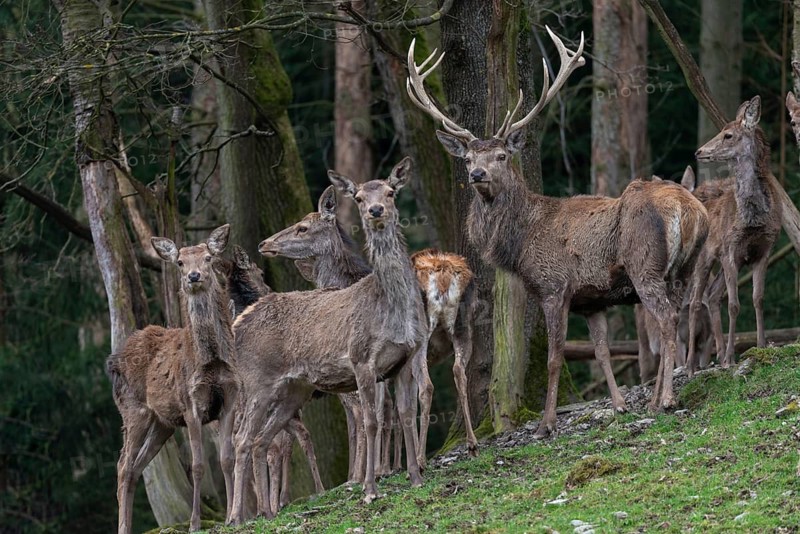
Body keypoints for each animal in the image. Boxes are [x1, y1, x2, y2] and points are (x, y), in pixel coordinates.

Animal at [106, 225, 240, 534]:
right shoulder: (191, 405)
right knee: (123, 465)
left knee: (136, 467)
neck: (211, 362)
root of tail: (113, 362)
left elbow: (227, 459)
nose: (194, 276)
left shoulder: (229, 398)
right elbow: (198, 465)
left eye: (207, 258)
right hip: (134, 410)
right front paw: (194, 524)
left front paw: (234, 516)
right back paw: (123, 527)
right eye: (180, 262)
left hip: (162, 423)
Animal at [228, 158, 426, 524]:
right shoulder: (361, 360)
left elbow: (404, 413)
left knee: (263, 439)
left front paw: (415, 478)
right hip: (257, 382)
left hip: (294, 390)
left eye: (391, 192)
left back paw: (268, 511)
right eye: (359, 197)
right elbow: (371, 420)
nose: (376, 210)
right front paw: (368, 487)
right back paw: (237, 516)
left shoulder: (404, 358)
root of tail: (238, 321)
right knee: (243, 439)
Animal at [261, 185, 479, 471]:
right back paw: (472, 444)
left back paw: (420, 459)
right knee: (459, 372)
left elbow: (377, 410)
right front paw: (388, 466)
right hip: (464, 327)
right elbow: (390, 409)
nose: (264, 244)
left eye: (302, 227)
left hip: (421, 336)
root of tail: (442, 274)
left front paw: (373, 469)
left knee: (427, 386)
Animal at [406, 28, 709, 437]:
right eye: (468, 158)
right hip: (684, 268)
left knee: (666, 320)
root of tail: (688, 208)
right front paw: (618, 405)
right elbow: (601, 350)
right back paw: (657, 398)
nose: (477, 174)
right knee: (678, 316)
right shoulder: (592, 300)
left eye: (502, 155)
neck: (520, 245)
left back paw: (665, 400)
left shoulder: (554, 286)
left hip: (644, 265)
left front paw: (546, 423)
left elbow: (554, 357)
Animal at [686, 96, 782, 374]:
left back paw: (715, 355)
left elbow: (757, 298)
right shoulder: (731, 249)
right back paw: (690, 365)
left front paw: (761, 345)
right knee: (695, 302)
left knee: (712, 295)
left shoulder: (764, 249)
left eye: (728, 135)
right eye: (721, 131)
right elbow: (734, 304)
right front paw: (730, 357)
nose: (699, 151)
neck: (753, 219)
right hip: (703, 257)